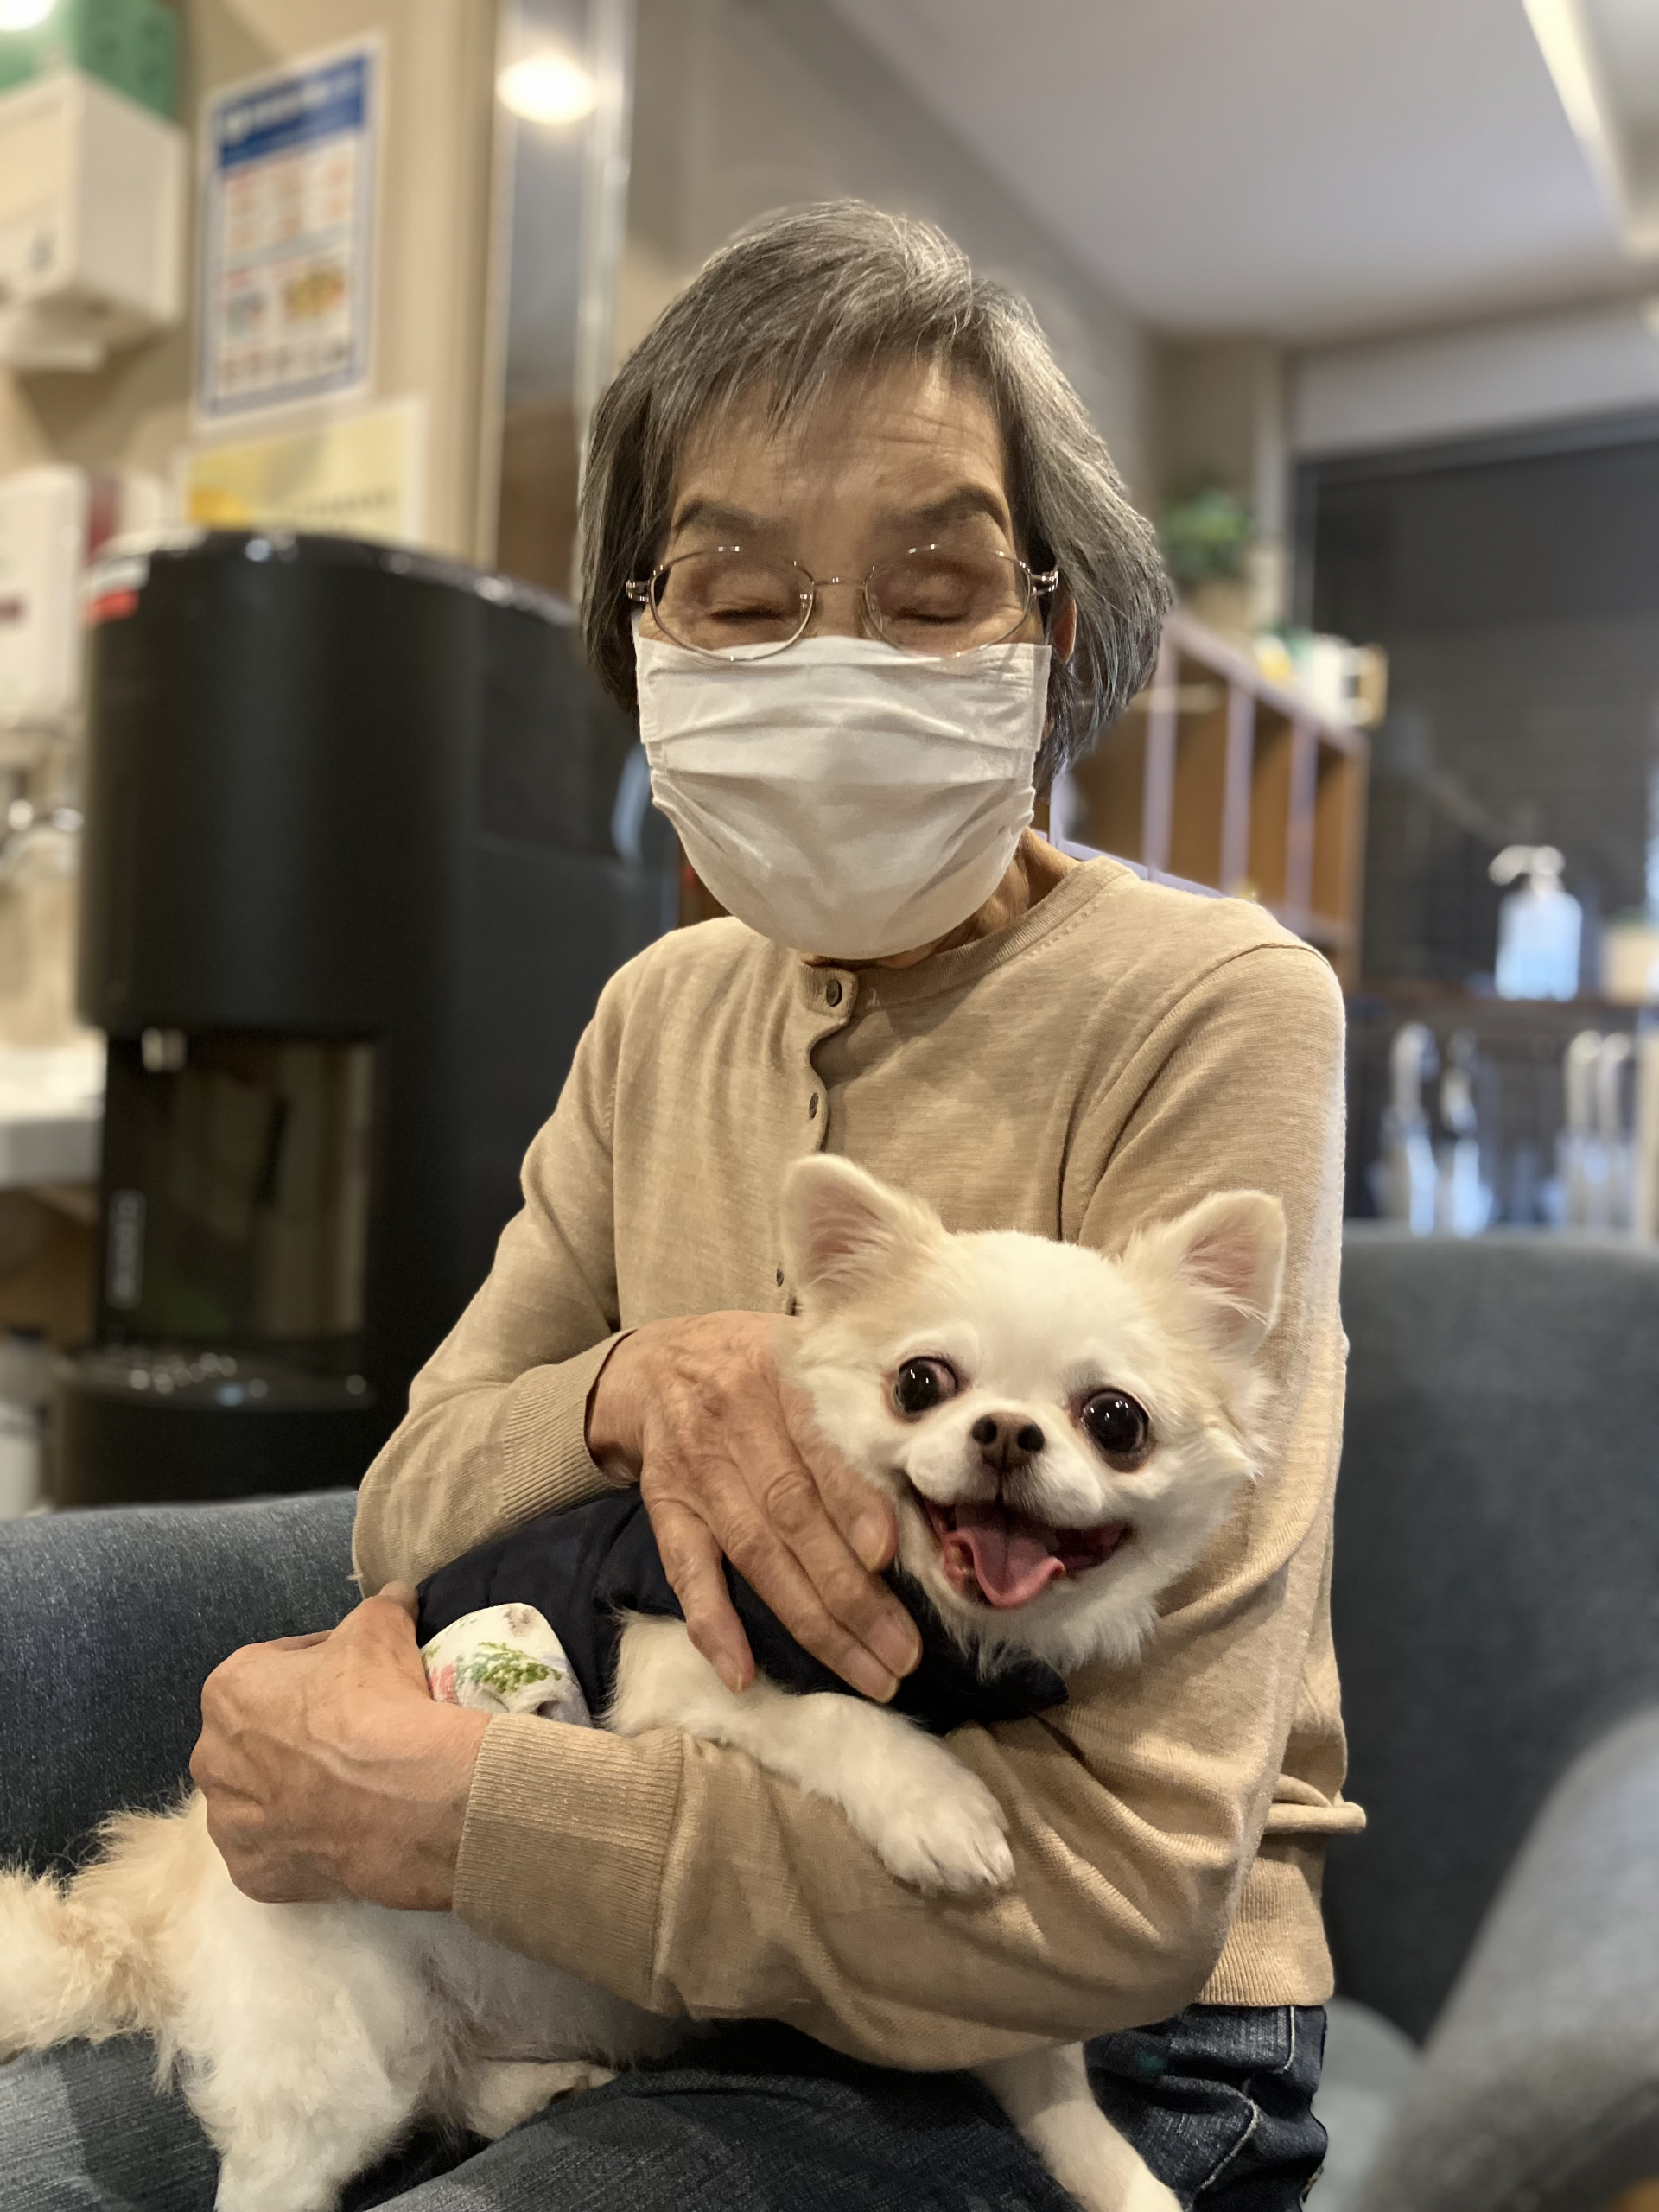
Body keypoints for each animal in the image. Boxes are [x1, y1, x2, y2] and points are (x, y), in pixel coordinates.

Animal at [0, 1156, 1286, 2212]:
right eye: (922, 1382)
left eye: (1114, 1421)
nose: (1010, 1433)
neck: (947, 1631)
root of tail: (166, 1907)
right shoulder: (690, 1665)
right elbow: (839, 1720)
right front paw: (938, 1808)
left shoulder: (984, 1991)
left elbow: (1047, 2074)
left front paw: (1122, 2183)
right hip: (338, 2056)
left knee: (458, 2089)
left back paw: (536, 2087)